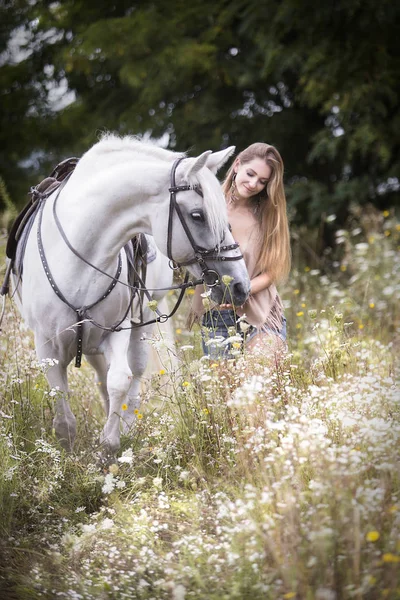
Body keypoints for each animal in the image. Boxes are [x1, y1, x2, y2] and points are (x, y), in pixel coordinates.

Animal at [13, 135, 250, 454]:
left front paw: (109, 446)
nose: (239, 286)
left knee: (133, 374)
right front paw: (67, 454)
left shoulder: (118, 330)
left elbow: (120, 380)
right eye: (197, 216)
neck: (76, 256)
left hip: (142, 324)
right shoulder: (46, 346)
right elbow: (61, 402)